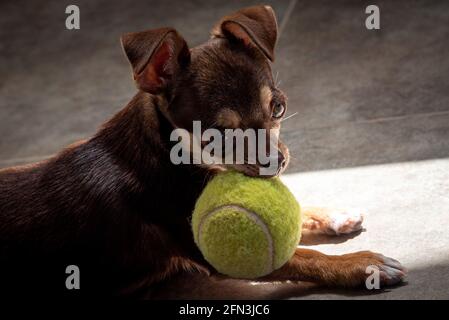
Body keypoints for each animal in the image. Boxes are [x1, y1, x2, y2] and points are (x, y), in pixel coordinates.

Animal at [0, 5, 406, 298]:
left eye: (278, 108)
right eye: (218, 134)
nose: (277, 162)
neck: (176, 155)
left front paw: (333, 213)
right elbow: (306, 257)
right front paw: (362, 264)